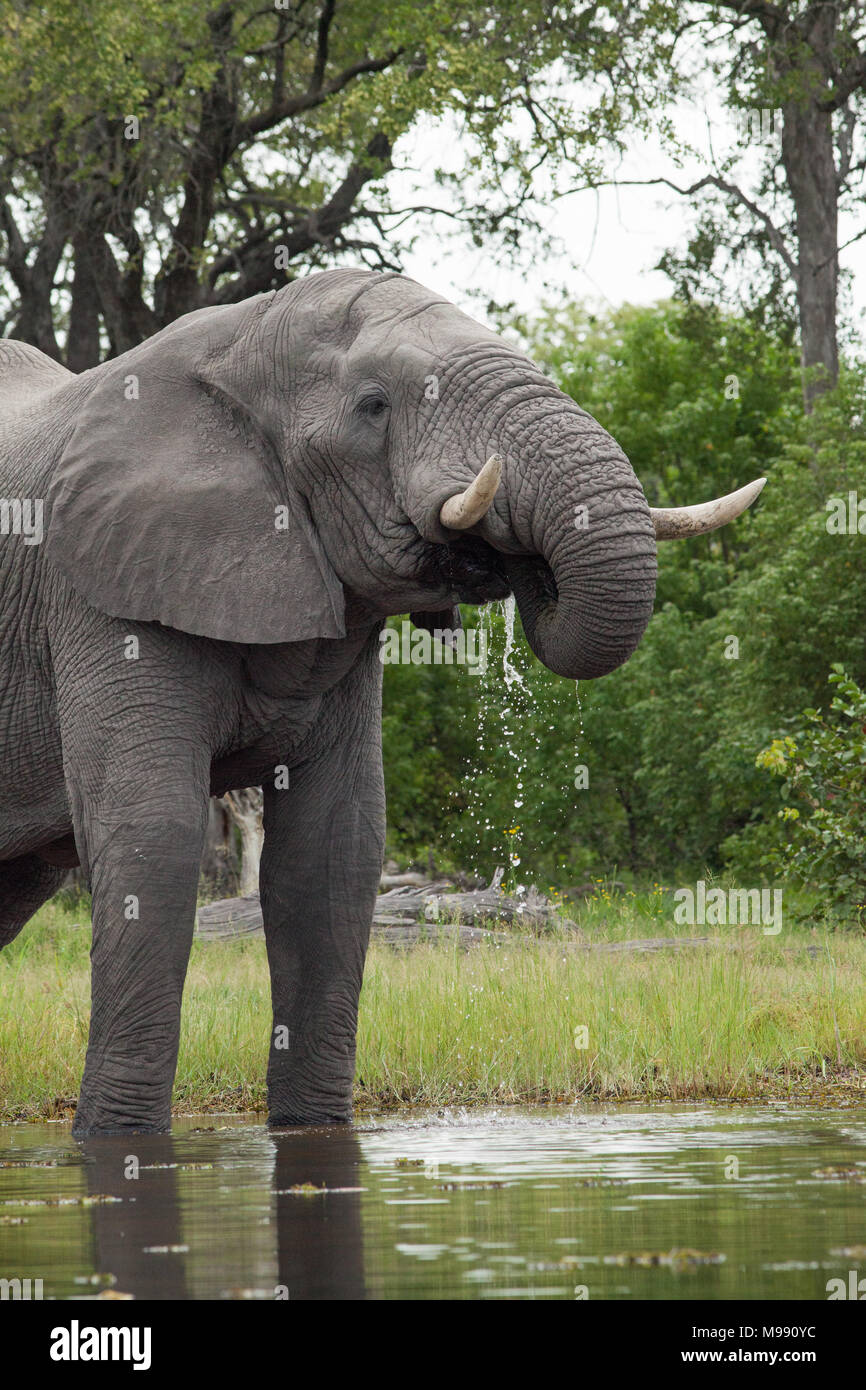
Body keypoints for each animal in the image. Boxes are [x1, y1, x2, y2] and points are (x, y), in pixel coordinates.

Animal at [0, 265, 767, 1134]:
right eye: (374, 406)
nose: (510, 556)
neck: (240, 339)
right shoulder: (100, 588)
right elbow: (153, 833)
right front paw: (119, 1140)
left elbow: (335, 847)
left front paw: (313, 1129)